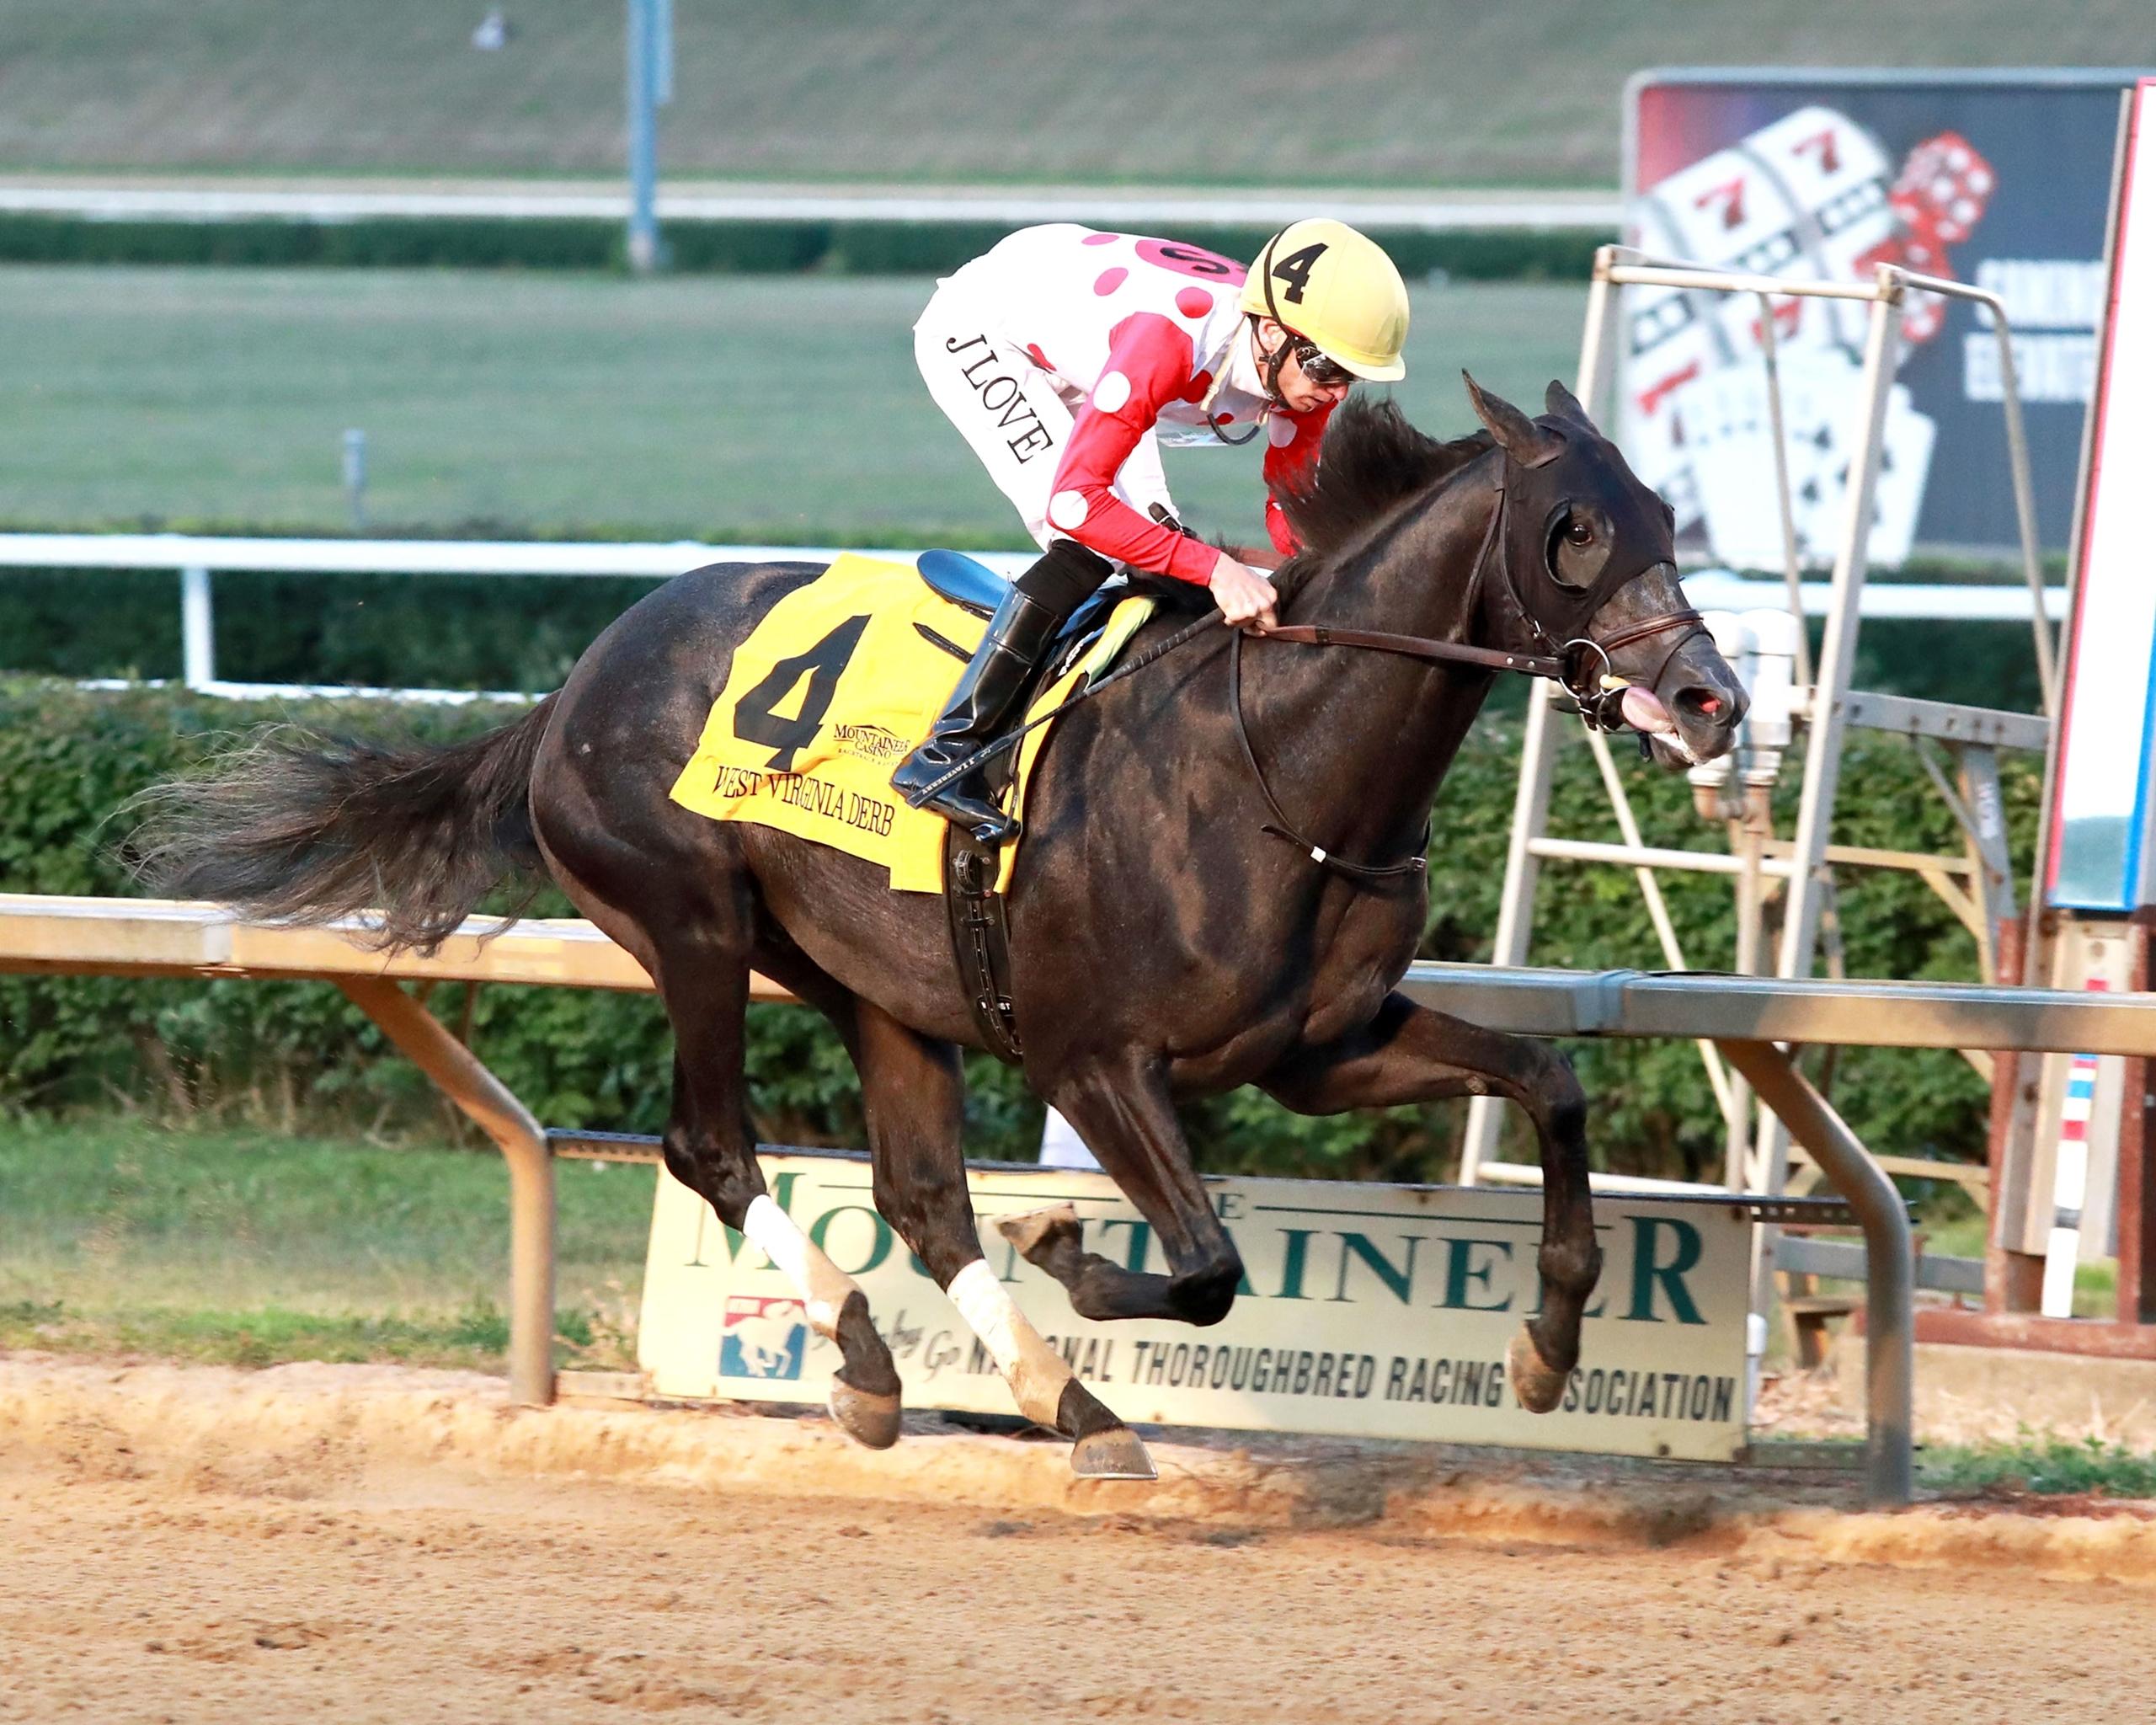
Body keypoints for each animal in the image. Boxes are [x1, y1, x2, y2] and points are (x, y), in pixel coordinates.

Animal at [132, 379, 1747, 1480]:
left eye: (1671, 519)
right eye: (1575, 529)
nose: (1713, 698)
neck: (1276, 758)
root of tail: (578, 676)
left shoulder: (1320, 1048)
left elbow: (1550, 1079)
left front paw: (1549, 1344)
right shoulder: (1099, 1058)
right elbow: (1208, 1263)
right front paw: (1077, 1246)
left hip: (881, 988)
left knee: (920, 1195)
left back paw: (1064, 1404)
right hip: (692, 925)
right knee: (713, 1144)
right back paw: (869, 1364)